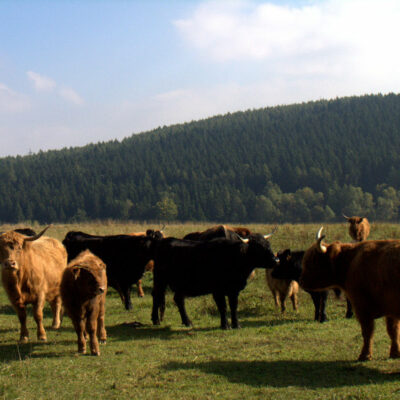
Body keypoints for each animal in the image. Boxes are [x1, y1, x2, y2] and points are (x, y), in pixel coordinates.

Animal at [150, 233, 278, 330]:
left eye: (268, 245)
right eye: (258, 247)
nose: (276, 260)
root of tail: (165, 241)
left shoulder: (234, 290)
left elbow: (233, 306)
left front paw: (236, 324)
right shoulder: (218, 290)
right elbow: (223, 307)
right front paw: (225, 325)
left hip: (179, 285)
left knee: (178, 299)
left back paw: (187, 322)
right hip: (160, 280)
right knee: (156, 296)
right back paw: (156, 320)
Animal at [300, 227, 400, 360]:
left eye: (314, 260)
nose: (301, 281)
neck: (350, 260)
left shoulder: (362, 307)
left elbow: (368, 332)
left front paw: (365, 355)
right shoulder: (390, 310)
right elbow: (393, 331)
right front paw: (395, 353)